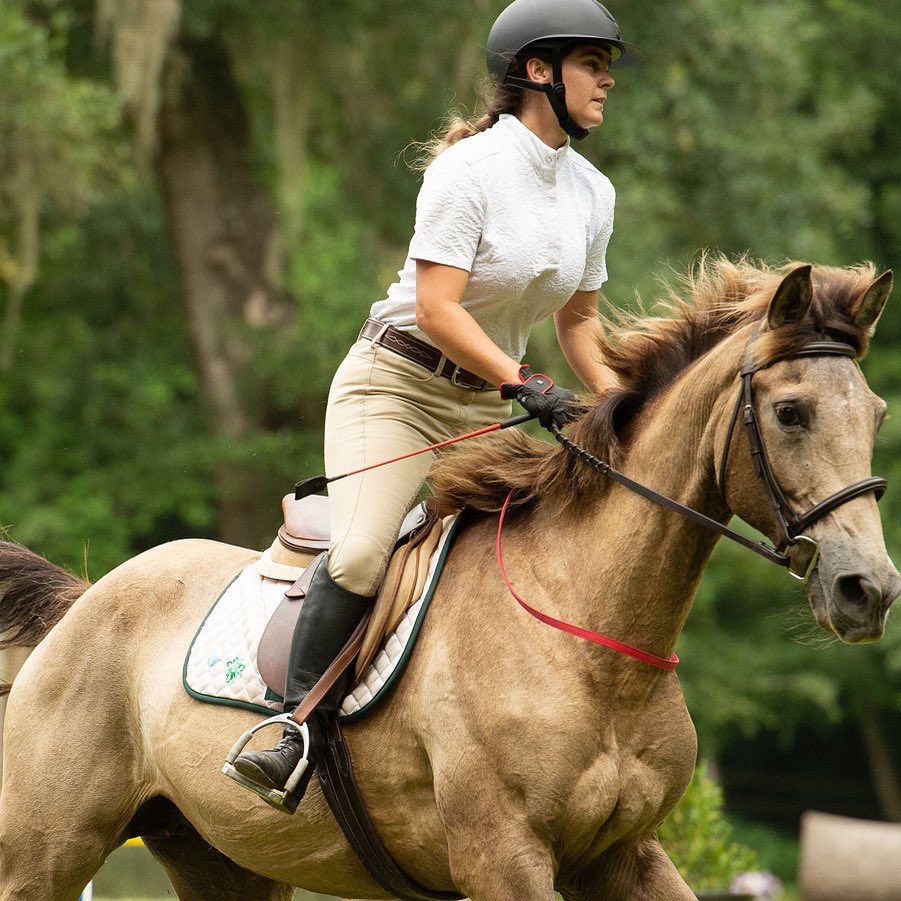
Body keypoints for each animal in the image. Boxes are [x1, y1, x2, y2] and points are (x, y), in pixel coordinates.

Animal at [0, 257, 897, 901]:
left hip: (221, 861)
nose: (869, 590)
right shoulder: (503, 857)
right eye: (789, 412)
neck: (592, 638)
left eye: (876, 412)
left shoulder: (623, 854)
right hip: (45, 853)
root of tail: (87, 601)